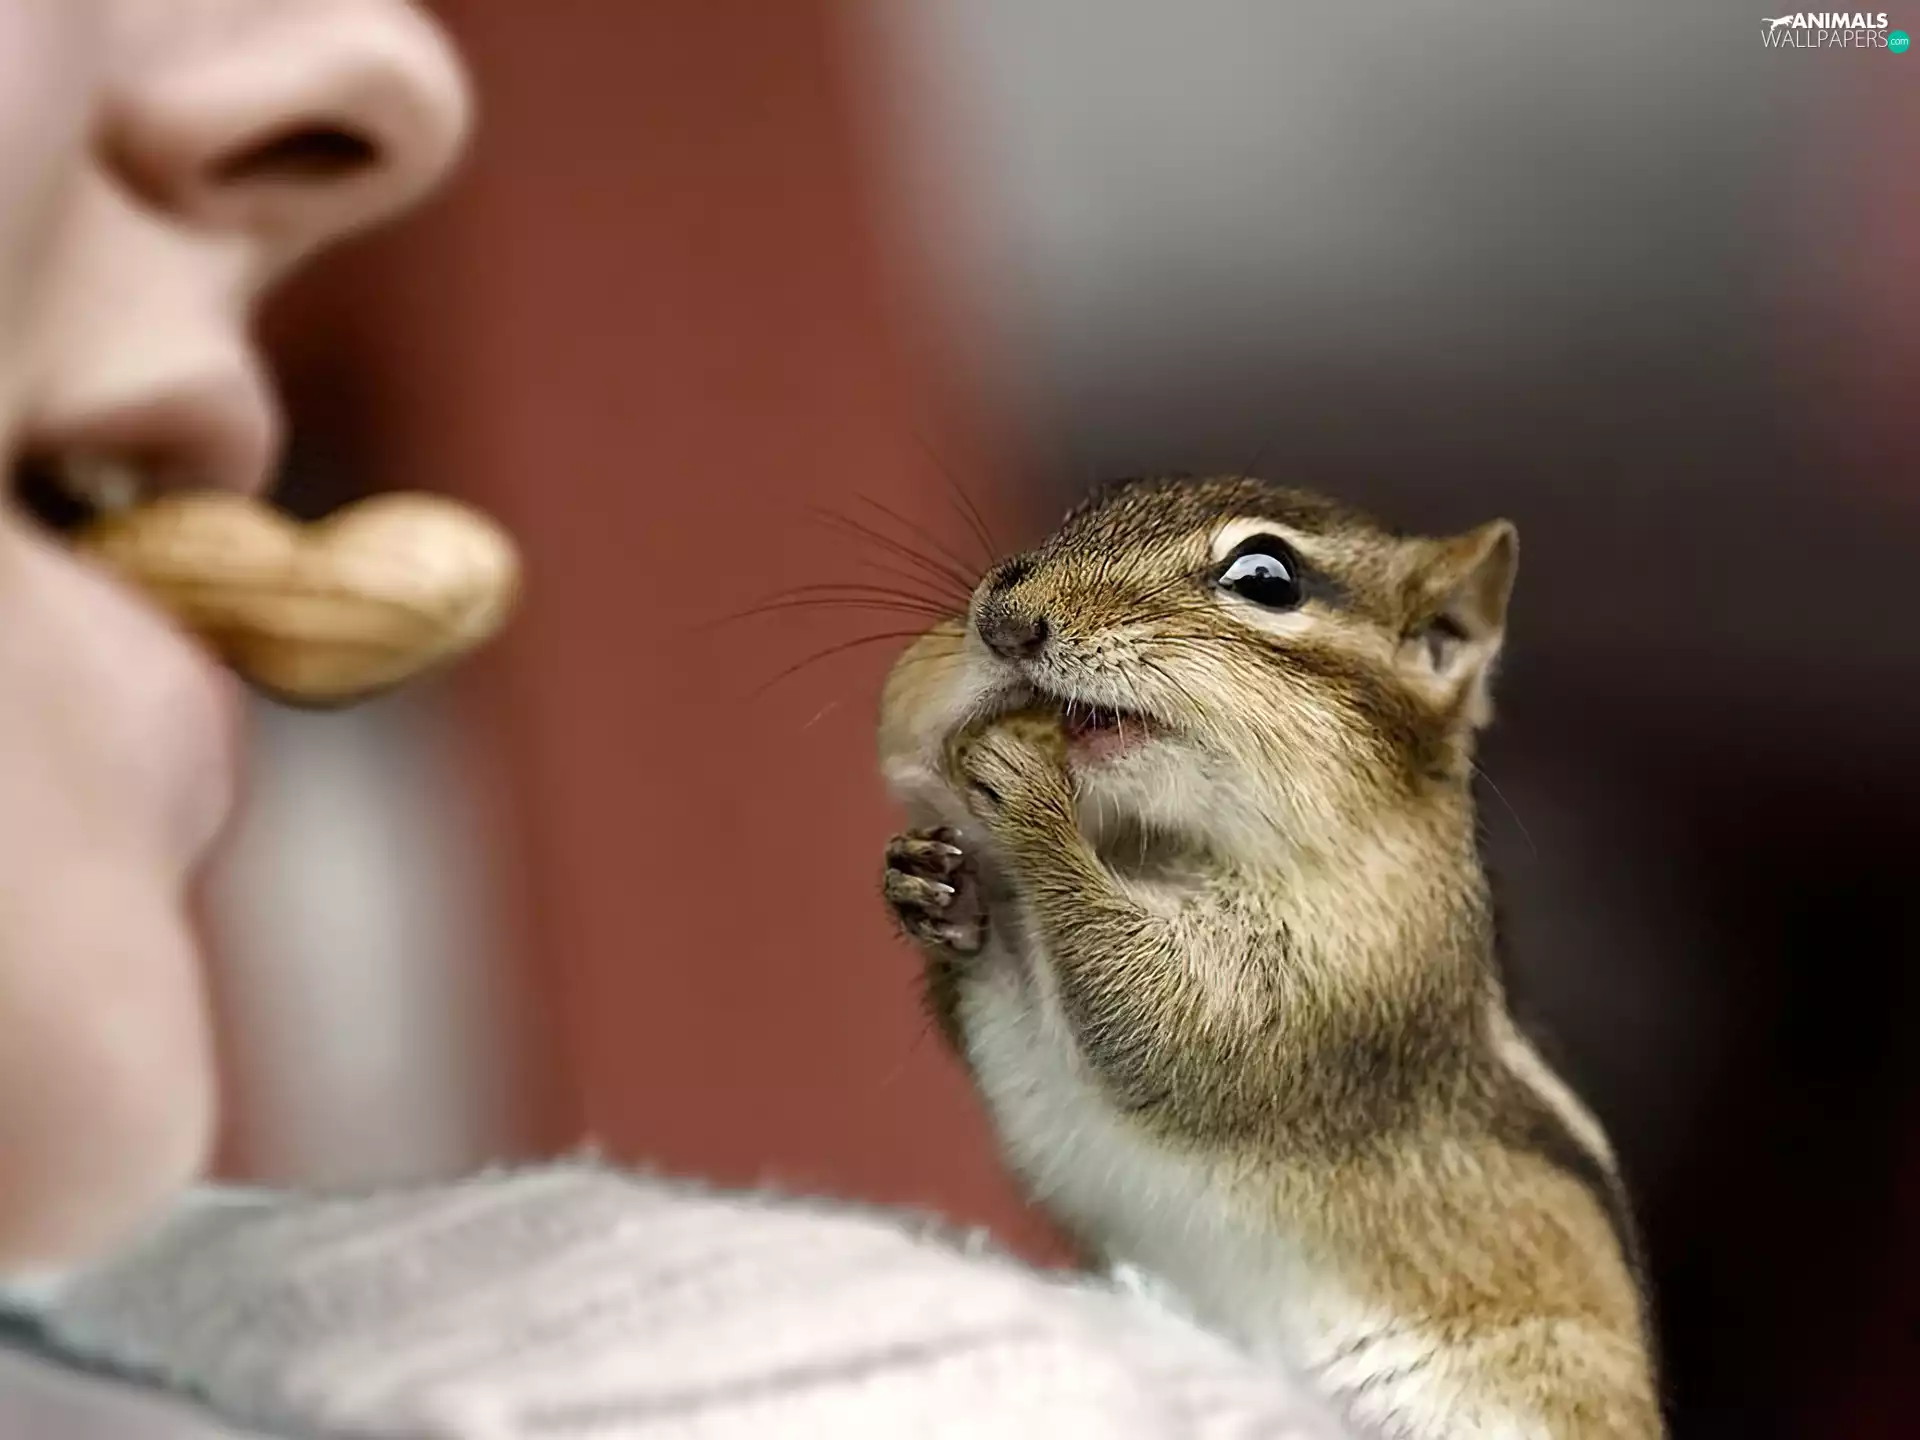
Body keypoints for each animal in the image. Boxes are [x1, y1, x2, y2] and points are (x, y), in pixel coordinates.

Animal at [876, 476, 1661, 1440]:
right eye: (1079, 515)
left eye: (1266, 578)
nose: (1003, 619)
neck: (1159, 847)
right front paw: (931, 886)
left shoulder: (1337, 968)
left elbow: (1160, 1017)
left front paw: (1028, 788)